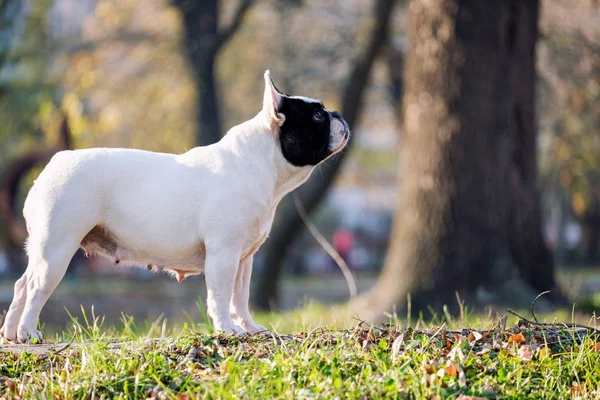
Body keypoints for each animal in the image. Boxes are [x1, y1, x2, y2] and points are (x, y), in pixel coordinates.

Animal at [0, 70, 350, 342]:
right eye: (317, 116)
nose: (339, 115)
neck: (262, 164)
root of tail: (53, 164)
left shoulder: (243, 258)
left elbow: (240, 296)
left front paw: (249, 328)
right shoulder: (223, 254)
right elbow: (220, 295)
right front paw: (227, 330)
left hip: (45, 249)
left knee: (21, 284)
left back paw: (12, 335)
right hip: (58, 248)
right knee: (36, 288)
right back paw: (29, 332)